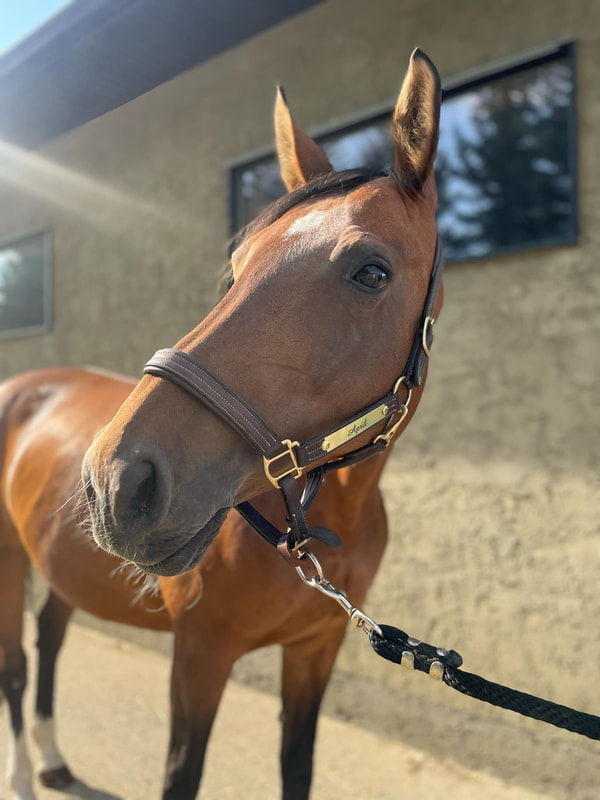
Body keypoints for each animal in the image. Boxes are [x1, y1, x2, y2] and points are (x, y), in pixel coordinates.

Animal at [0, 48, 442, 800]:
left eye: (372, 272)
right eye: (234, 268)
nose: (118, 481)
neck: (328, 520)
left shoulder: (315, 651)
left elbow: (297, 767)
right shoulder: (201, 653)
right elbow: (183, 774)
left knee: (49, 643)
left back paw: (54, 761)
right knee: (15, 669)